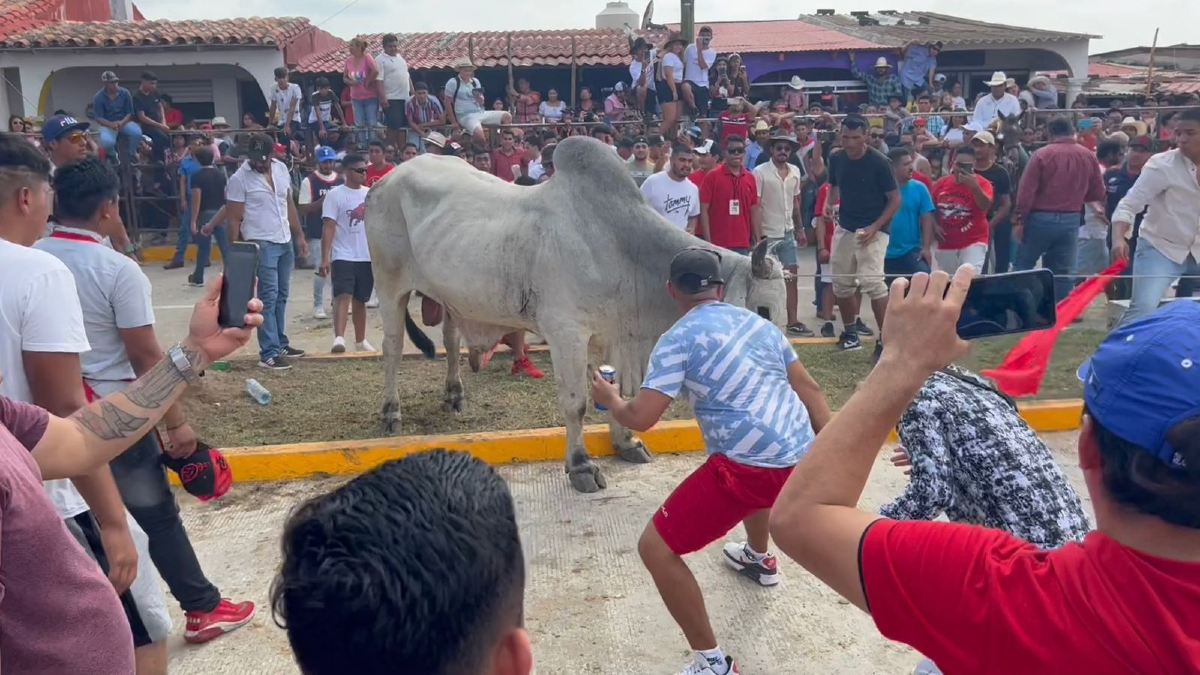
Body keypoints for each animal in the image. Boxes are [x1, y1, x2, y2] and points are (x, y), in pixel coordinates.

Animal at [364, 135, 787, 487]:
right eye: (763, 310)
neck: (625, 249)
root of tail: (385, 181)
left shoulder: (614, 333)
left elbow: (621, 394)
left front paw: (626, 443)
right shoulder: (566, 333)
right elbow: (576, 404)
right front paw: (581, 466)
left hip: (449, 293)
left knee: (451, 340)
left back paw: (454, 396)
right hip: (389, 283)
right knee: (391, 347)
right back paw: (391, 412)